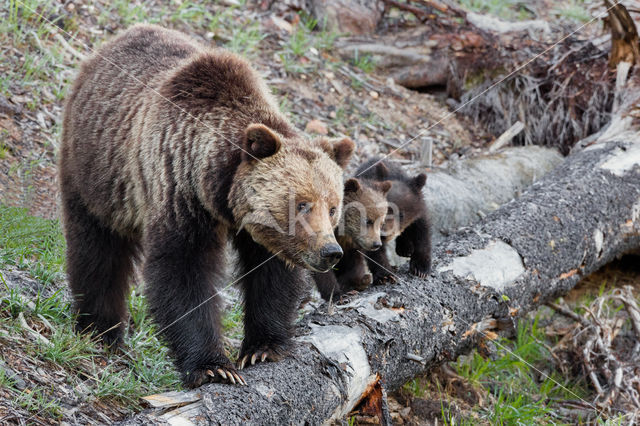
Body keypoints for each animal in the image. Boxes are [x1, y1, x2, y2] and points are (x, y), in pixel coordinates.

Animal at [58, 25, 356, 388]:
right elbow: (182, 270)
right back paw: (100, 328)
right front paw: (213, 365)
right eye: (301, 204)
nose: (331, 252)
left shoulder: (263, 234)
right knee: (97, 247)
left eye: (332, 207)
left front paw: (264, 347)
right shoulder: (177, 188)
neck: (219, 194)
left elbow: (271, 275)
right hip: (97, 167)